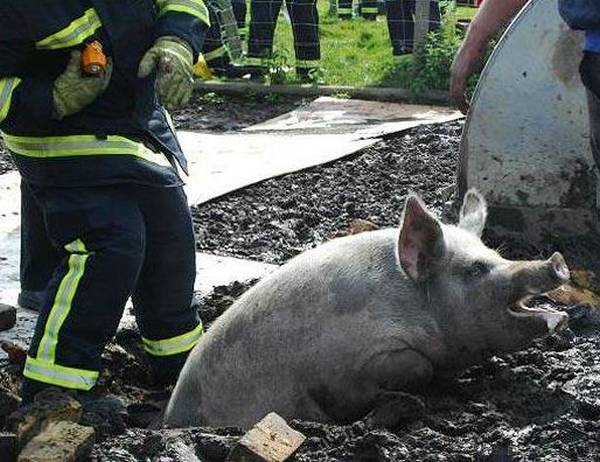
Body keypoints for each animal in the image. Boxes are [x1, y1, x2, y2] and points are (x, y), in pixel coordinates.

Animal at [163, 189, 568, 428]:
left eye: (498, 256)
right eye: (476, 270)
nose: (557, 261)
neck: (411, 305)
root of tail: (168, 419)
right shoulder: (361, 359)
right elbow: (418, 367)